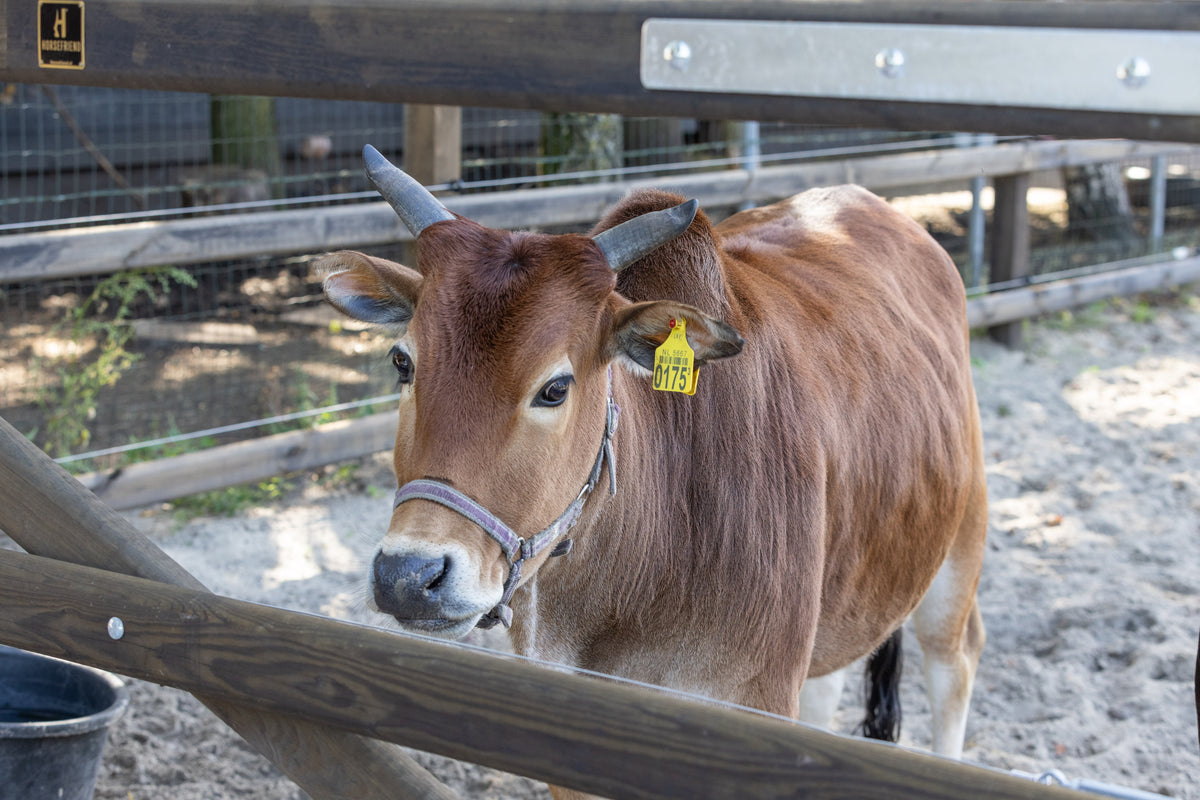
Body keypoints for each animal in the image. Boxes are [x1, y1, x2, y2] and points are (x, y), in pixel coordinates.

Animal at [318, 146, 988, 794]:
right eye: (403, 362)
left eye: (555, 388)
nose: (409, 577)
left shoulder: (756, 705)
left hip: (959, 545)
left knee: (954, 663)